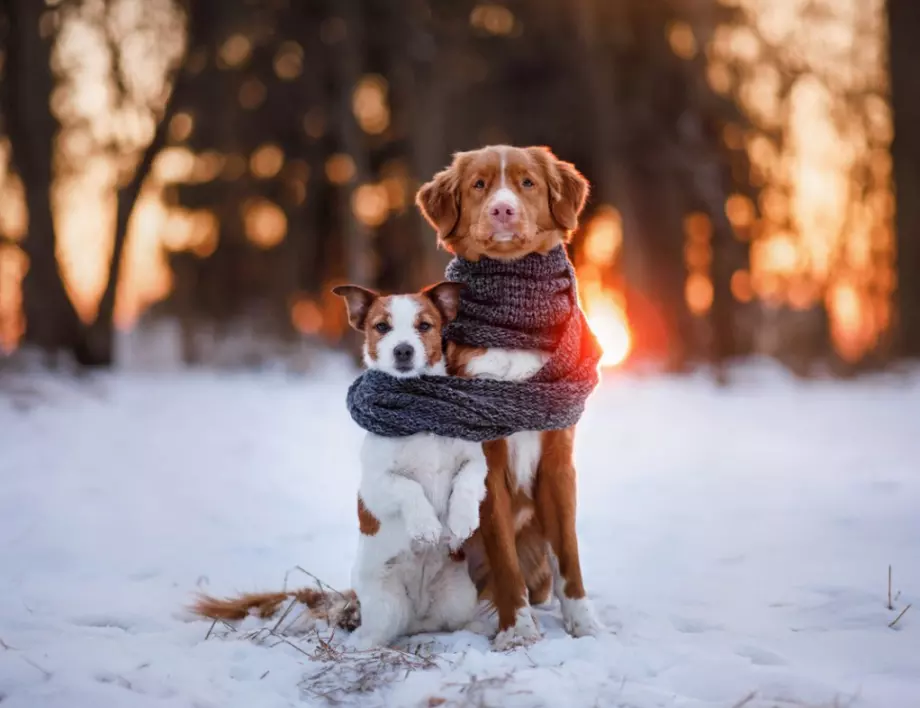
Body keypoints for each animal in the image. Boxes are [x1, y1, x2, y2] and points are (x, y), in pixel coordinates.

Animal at [332, 282, 488, 652]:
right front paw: (426, 526)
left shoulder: (475, 462)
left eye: (424, 325)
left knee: (453, 622)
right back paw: (356, 642)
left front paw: (461, 520)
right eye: (381, 327)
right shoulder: (376, 484)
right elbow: (409, 486)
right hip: (385, 605)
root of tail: (418, 615)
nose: (403, 350)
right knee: (377, 633)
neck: (421, 415)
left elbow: (466, 481)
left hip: (459, 597)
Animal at [418, 144, 604, 648]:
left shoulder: (559, 458)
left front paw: (584, 623)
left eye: (527, 183)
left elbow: (571, 553)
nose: (503, 210)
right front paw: (516, 630)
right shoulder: (487, 460)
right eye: (479, 185)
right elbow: (503, 554)